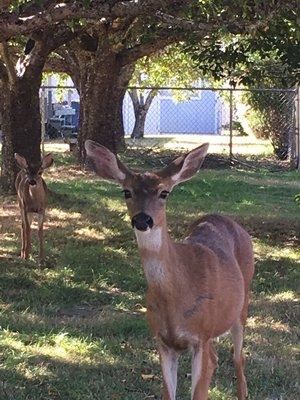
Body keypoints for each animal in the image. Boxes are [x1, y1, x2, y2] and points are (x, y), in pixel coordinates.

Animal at [85, 139, 255, 398]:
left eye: (164, 192)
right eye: (126, 191)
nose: (142, 220)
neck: (177, 293)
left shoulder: (200, 336)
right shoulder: (163, 341)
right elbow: (168, 392)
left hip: (242, 304)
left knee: (238, 358)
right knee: (217, 358)